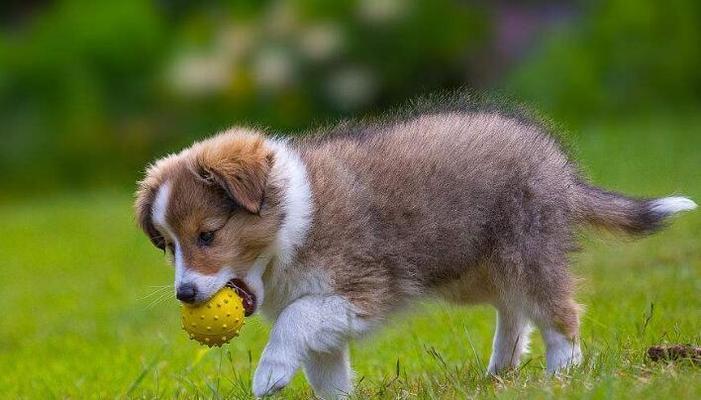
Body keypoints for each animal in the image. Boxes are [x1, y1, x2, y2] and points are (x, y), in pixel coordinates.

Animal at [134, 110, 692, 400]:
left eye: (207, 235)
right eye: (168, 245)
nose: (185, 294)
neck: (290, 224)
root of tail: (559, 167)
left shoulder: (360, 291)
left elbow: (294, 322)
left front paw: (269, 373)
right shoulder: (326, 314)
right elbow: (326, 372)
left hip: (526, 252)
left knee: (560, 313)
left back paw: (563, 378)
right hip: (476, 268)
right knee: (514, 311)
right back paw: (500, 371)